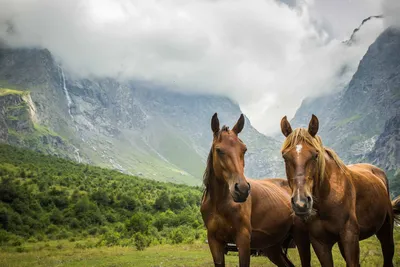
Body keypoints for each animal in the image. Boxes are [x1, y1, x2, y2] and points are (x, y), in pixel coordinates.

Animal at [202, 113, 310, 267]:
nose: (242, 189)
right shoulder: (214, 242)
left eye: (244, 149)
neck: (219, 203)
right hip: (272, 247)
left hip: (301, 238)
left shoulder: (243, 240)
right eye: (219, 150)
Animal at [282, 114, 400, 266]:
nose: (301, 203)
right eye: (285, 157)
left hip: (385, 230)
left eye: (315, 155)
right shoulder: (320, 244)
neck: (327, 199)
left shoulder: (350, 238)